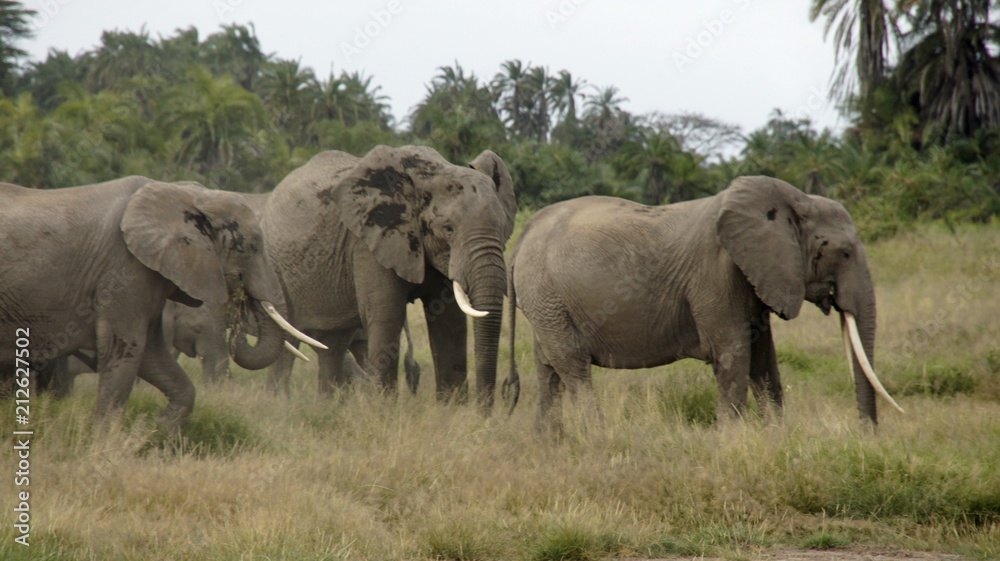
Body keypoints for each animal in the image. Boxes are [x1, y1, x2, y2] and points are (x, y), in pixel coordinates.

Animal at [0, 176, 320, 428]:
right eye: (252, 246)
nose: (241, 301)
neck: (186, 194)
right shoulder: (123, 271)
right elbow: (125, 349)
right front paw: (106, 447)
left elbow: (153, 357)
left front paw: (155, 431)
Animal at [260, 144, 516, 406]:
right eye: (448, 229)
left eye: (502, 227)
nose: (488, 408)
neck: (430, 174)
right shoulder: (369, 240)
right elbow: (387, 314)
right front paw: (382, 409)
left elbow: (449, 320)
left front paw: (452, 409)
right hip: (274, 265)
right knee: (290, 331)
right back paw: (278, 402)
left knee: (333, 342)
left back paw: (328, 406)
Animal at [504, 175, 904, 428]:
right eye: (845, 253)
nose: (866, 433)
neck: (792, 203)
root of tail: (521, 241)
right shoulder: (717, 276)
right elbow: (733, 354)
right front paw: (732, 441)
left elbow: (764, 360)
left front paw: (777, 438)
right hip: (547, 294)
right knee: (573, 366)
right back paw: (597, 437)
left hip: (546, 301)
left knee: (549, 370)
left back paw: (550, 444)